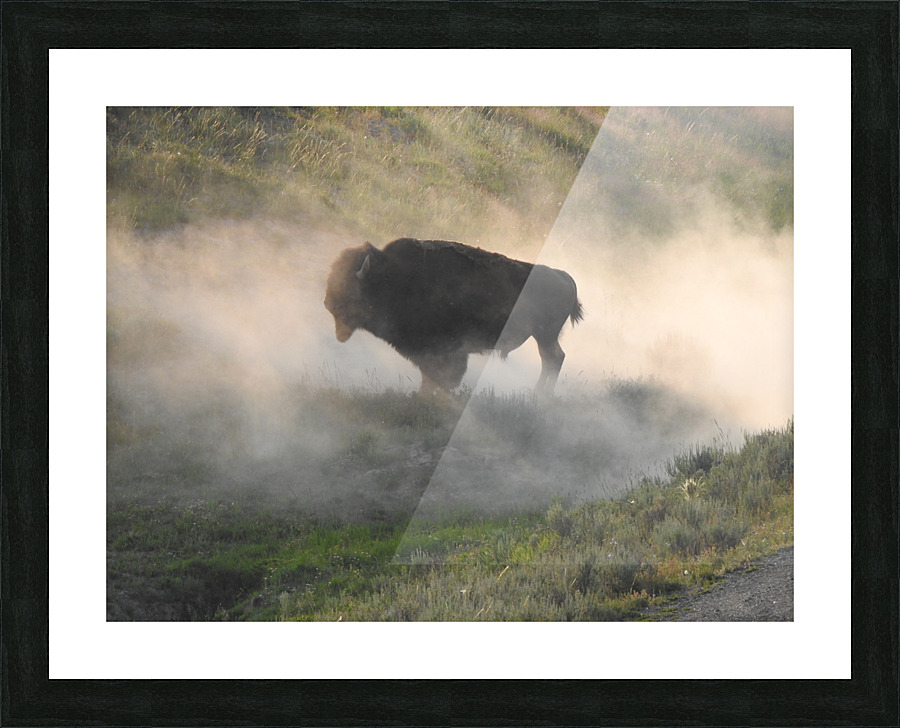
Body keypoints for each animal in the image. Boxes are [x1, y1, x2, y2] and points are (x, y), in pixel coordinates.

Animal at [324, 238, 584, 395]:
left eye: (348, 284)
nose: (327, 303)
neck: (395, 276)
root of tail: (564, 276)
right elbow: (429, 376)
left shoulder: (442, 349)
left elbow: (440, 375)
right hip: (544, 336)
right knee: (553, 358)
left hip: (544, 335)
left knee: (553, 358)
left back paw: (540, 394)